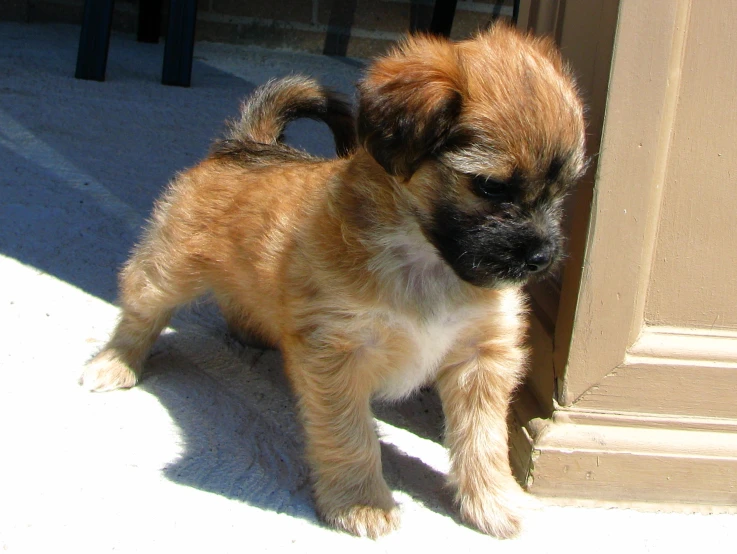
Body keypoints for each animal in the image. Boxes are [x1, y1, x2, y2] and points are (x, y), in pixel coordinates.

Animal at [82, 23, 588, 536]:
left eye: (563, 189)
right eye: (490, 186)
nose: (542, 257)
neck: (425, 261)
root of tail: (247, 145)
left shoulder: (480, 359)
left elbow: (482, 440)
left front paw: (492, 500)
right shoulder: (338, 355)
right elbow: (351, 435)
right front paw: (361, 502)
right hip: (167, 267)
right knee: (141, 312)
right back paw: (115, 363)